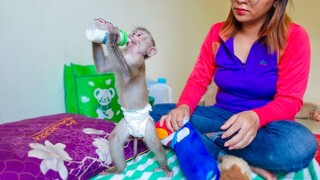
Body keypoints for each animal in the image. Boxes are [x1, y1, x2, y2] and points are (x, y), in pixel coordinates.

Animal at [91, 18, 172, 177]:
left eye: (139, 35)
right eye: (133, 33)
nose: (131, 35)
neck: (129, 53)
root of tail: (135, 133)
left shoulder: (138, 60)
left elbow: (127, 77)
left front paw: (112, 37)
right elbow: (102, 67)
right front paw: (98, 30)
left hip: (147, 126)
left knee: (155, 144)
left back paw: (164, 166)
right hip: (126, 124)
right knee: (115, 139)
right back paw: (119, 169)